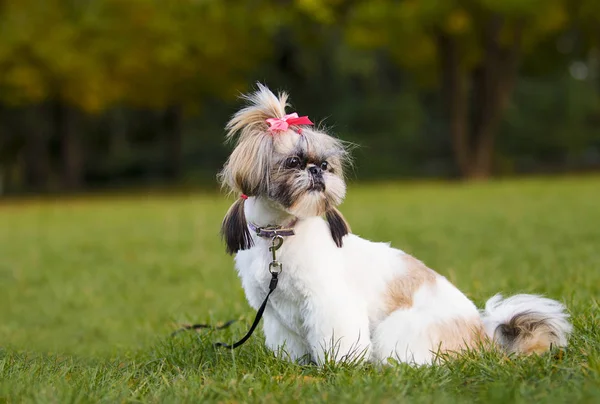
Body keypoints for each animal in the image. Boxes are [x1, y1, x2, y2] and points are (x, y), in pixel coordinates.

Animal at [217, 83, 572, 364]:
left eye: (326, 165)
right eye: (293, 162)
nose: (317, 171)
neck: (281, 235)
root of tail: (481, 337)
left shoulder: (329, 303)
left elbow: (338, 338)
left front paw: (338, 366)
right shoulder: (277, 314)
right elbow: (289, 343)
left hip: (399, 330)